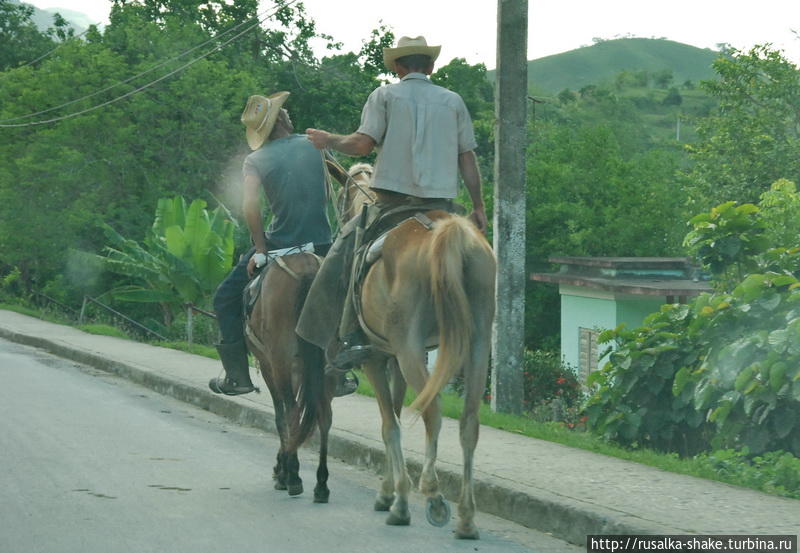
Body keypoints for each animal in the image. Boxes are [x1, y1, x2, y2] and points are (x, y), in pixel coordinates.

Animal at [242, 252, 332, 502]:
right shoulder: (301, 371)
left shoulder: (269, 366)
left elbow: (280, 416)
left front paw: (282, 469)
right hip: (324, 363)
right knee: (324, 416)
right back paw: (321, 484)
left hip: (279, 362)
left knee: (291, 413)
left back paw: (293, 477)